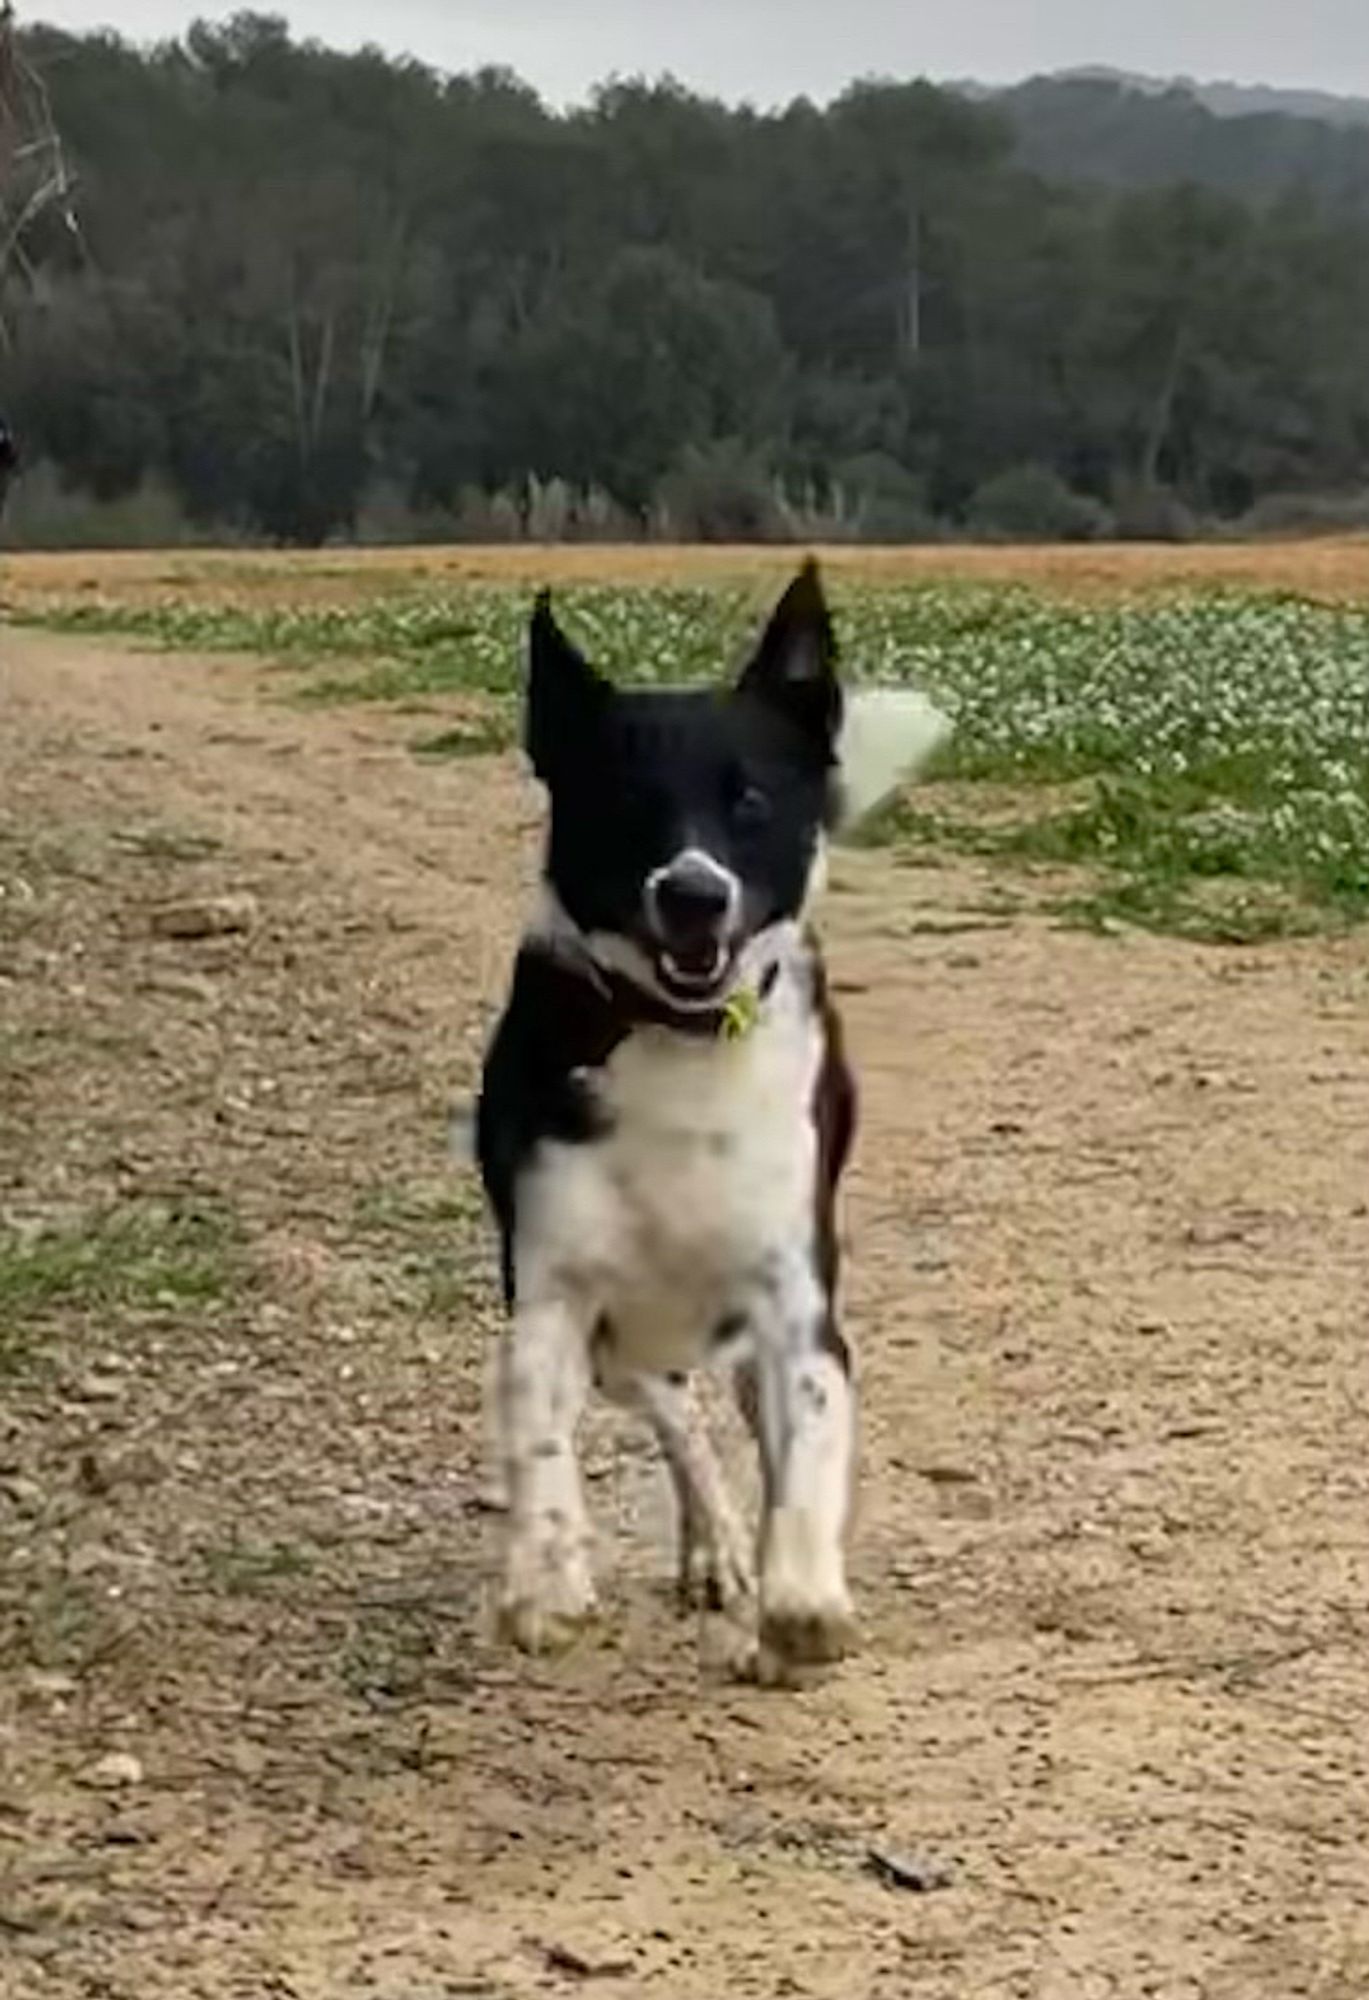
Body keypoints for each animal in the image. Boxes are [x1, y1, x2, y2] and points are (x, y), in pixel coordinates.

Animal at [472, 556, 940, 1680]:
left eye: (753, 800)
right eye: (624, 802)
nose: (693, 894)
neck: (680, 1039)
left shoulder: (795, 1305)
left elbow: (806, 1451)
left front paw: (802, 1596)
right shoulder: (555, 1296)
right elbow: (537, 1439)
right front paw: (546, 1576)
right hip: (626, 1344)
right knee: (677, 1421)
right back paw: (710, 1545)